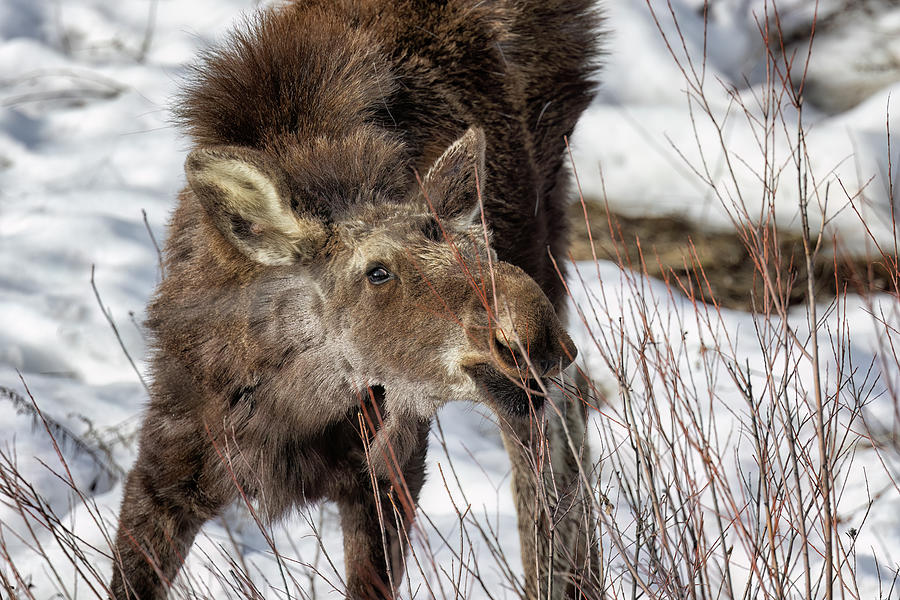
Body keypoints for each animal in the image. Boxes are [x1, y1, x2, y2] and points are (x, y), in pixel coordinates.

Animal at [112, 1, 600, 600]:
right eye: (377, 272)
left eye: (481, 247)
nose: (535, 338)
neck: (288, 413)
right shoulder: (163, 470)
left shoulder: (389, 474)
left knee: (557, 434)